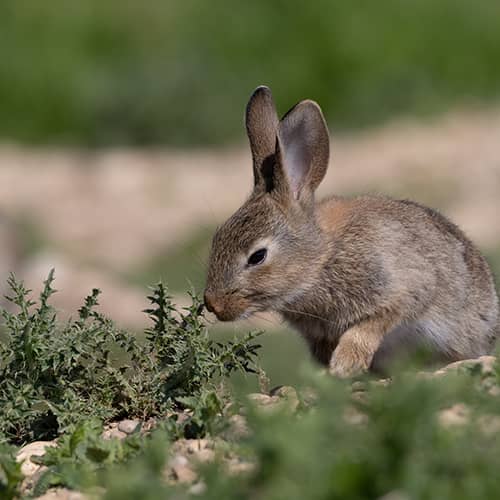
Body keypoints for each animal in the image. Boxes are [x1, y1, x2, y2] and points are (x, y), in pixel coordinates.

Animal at [202, 85, 496, 376]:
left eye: (257, 257)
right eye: (216, 240)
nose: (213, 304)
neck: (322, 259)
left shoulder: (402, 290)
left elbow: (371, 324)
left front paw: (345, 364)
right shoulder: (319, 335)